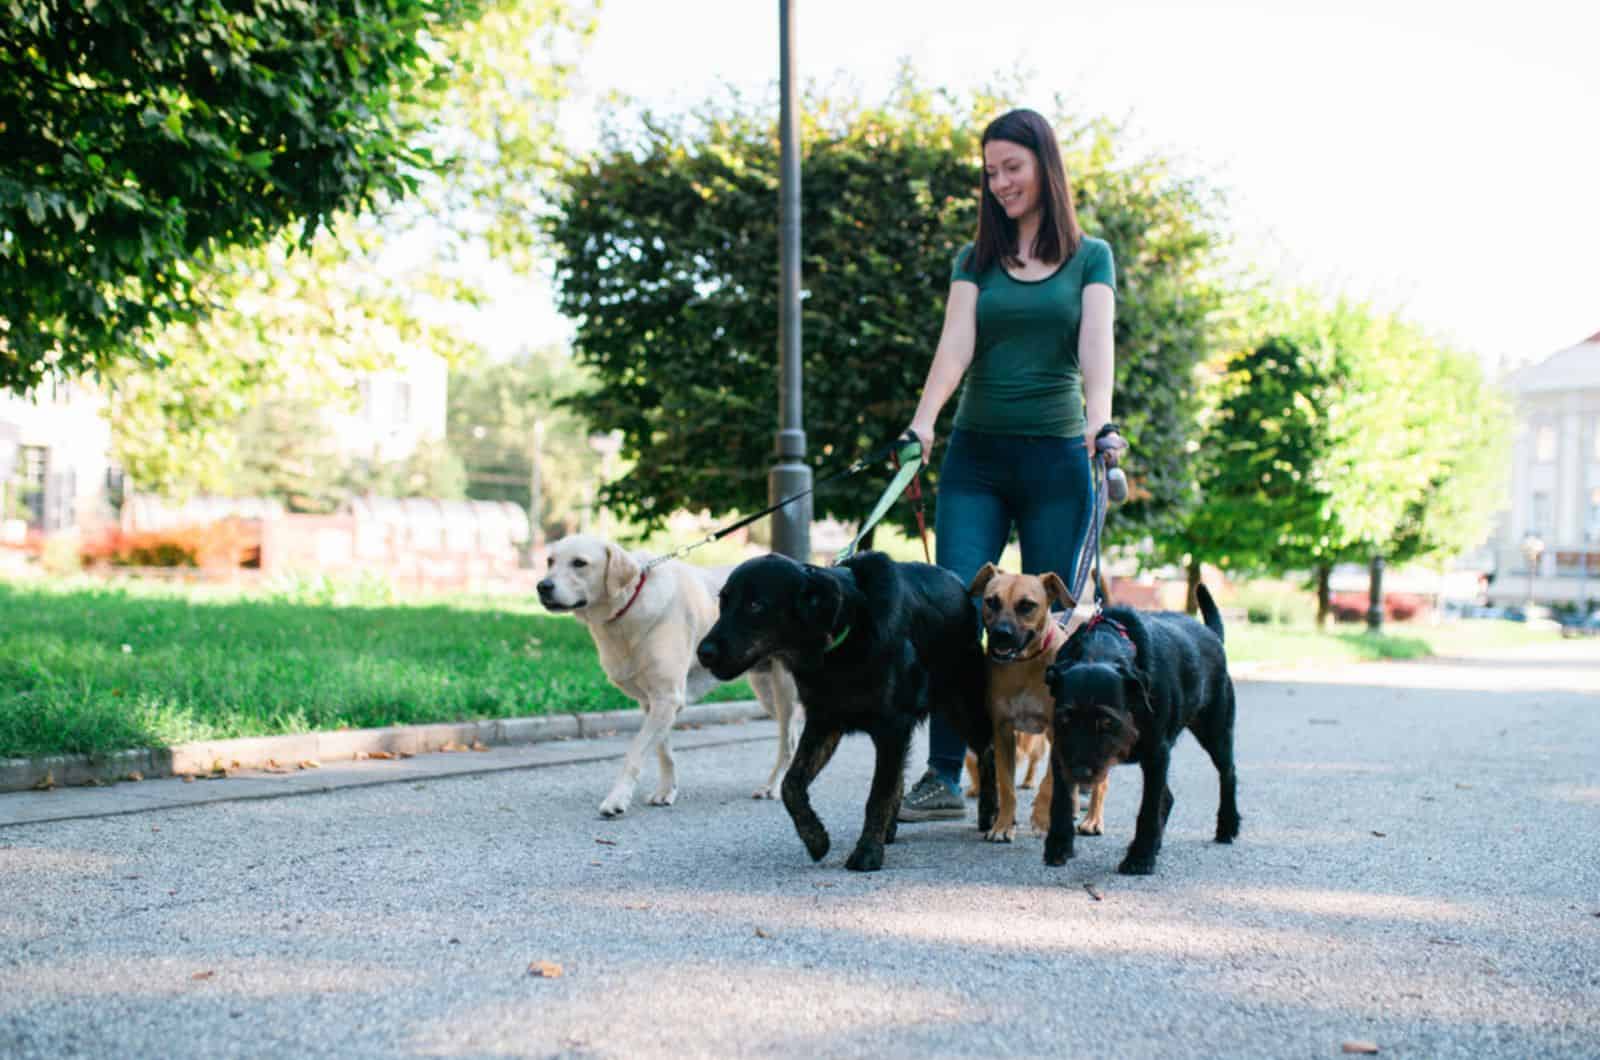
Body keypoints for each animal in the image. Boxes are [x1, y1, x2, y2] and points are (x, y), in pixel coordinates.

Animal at [697, 550, 992, 877]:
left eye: (755, 605)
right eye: (723, 602)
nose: (703, 652)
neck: (846, 633)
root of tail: (962, 588)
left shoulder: (892, 727)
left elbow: (878, 795)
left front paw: (867, 852)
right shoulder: (824, 722)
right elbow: (791, 784)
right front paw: (815, 838)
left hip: (963, 709)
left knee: (990, 752)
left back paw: (992, 815)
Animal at [966, 563, 1107, 845]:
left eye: (1027, 605)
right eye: (991, 601)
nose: (1001, 635)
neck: (1025, 664)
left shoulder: (1058, 730)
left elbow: (1049, 780)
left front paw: (1042, 819)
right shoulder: (1003, 732)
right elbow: (1006, 786)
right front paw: (1002, 825)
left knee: (1100, 783)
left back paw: (1093, 820)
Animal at [1043, 586, 1241, 877]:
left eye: (1107, 721)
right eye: (1066, 718)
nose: (1081, 774)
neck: (1102, 648)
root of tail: (1212, 635)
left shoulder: (1157, 754)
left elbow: (1149, 808)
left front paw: (1140, 857)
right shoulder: (1061, 749)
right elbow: (1060, 799)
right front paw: (1058, 845)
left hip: (1216, 731)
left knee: (1227, 774)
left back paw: (1227, 824)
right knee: (1169, 797)